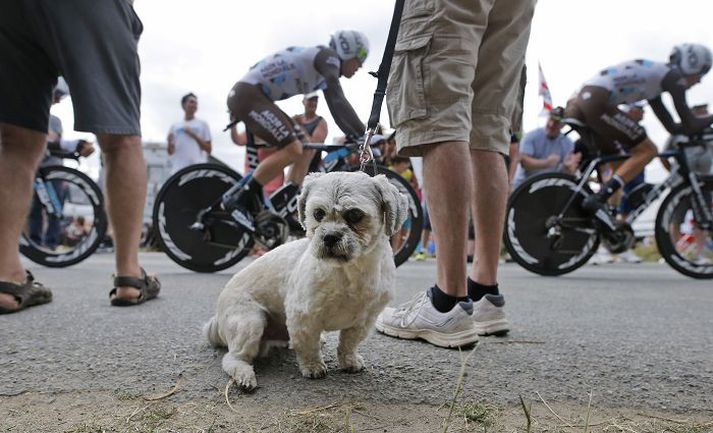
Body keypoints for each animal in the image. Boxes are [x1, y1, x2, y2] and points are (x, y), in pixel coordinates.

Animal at [203, 170, 408, 388]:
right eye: (318, 213)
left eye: (354, 215)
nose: (330, 236)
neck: (350, 272)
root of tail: (218, 317)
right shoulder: (303, 316)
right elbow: (308, 346)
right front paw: (313, 367)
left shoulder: (364, 319)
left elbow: (349, 343)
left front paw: (349, 361)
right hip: (250, 322)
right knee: (233, 358)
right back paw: (245, 375)